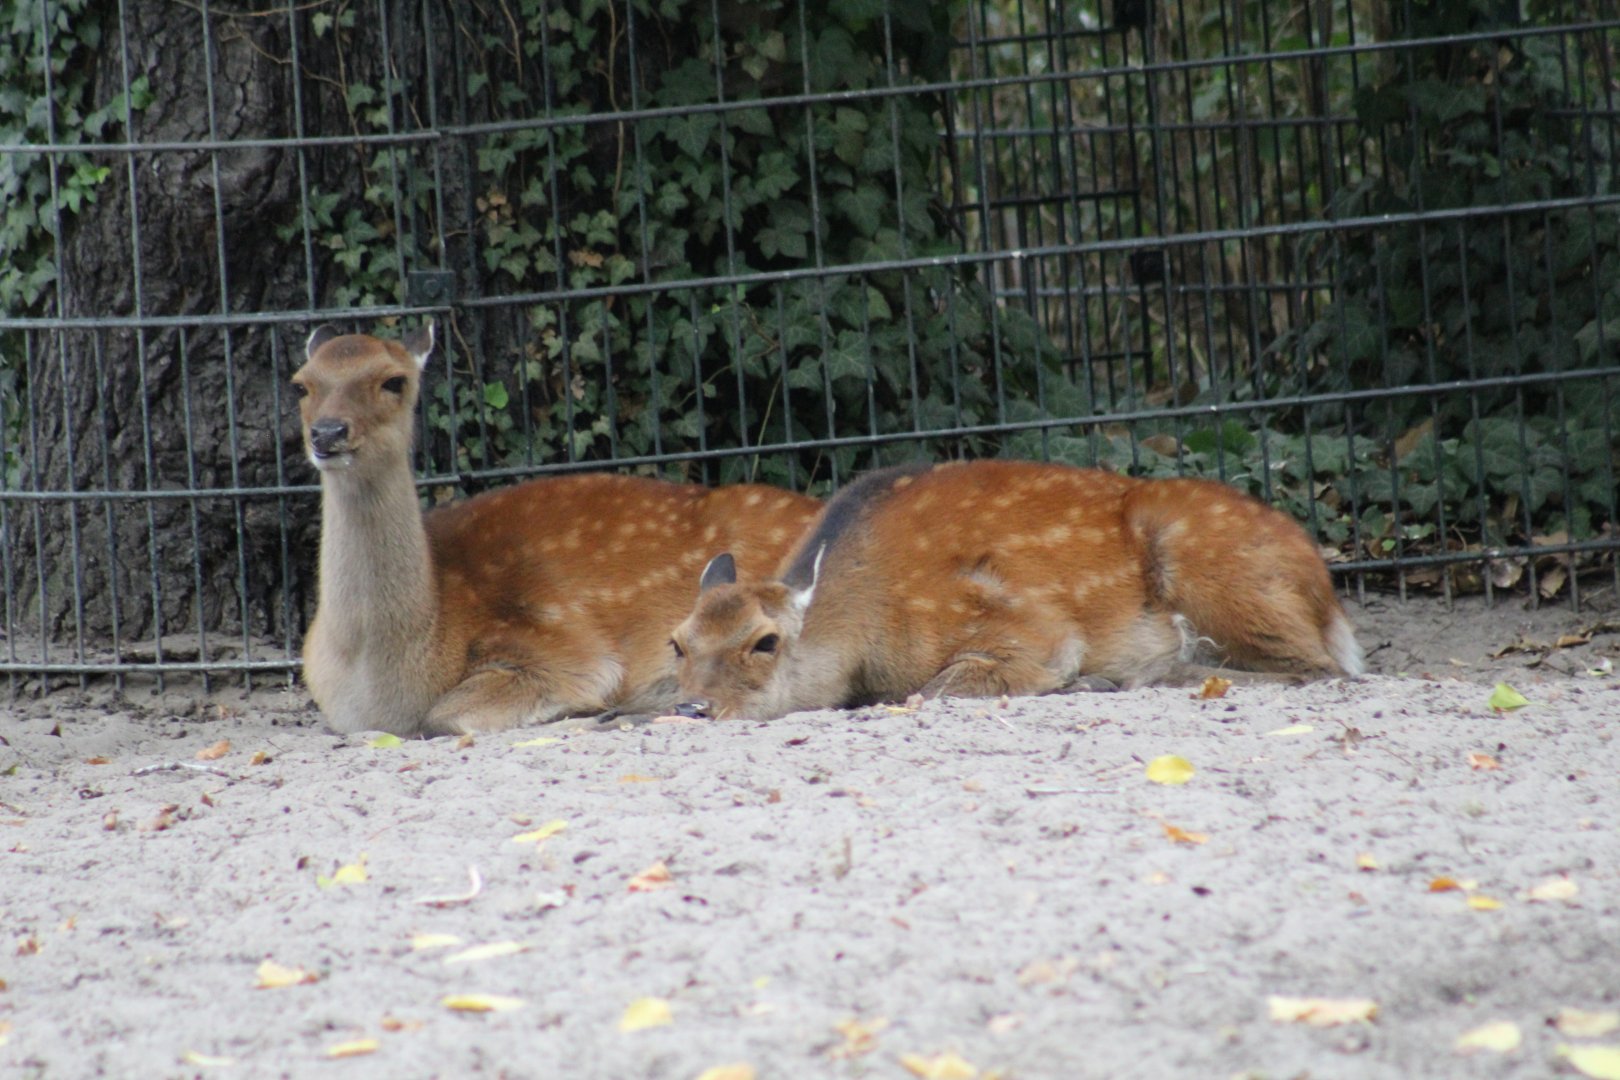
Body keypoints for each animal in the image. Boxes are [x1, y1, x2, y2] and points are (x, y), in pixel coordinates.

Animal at [291, 323, 821, 737]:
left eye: (394, 380)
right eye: (301, 384)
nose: (328, 433)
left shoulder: (568, 652)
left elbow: (443, 716)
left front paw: (588, 712)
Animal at [669, 459, 1364, 720]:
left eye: (765, 642)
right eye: (677, 643)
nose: (692, 707)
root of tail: (1326, 589)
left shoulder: (1033, 628)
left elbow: (933, 688)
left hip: (1216, 568)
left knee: (1321, 669)